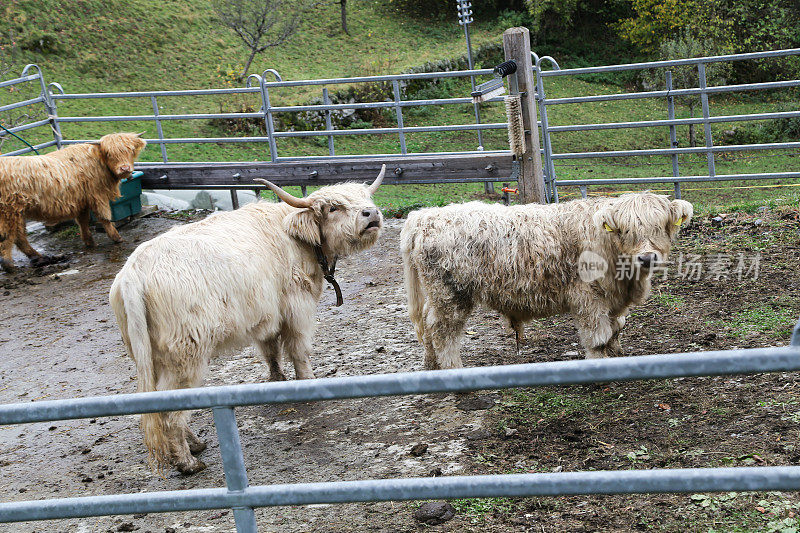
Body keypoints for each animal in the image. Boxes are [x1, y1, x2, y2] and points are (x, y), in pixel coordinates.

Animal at [0, 132, 147, 272]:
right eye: (109, 153)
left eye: (130, 150)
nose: (125, 168)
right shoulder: (97, 195)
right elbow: (104, 217)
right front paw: (116, 237)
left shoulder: (82, 200)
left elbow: (83, 221)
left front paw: (89, 242)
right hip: (9, 212)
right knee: (8, 236)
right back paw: (9, 265)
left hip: (18, 213)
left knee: (19, 236)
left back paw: (37, 256)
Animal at [111, 167, 386, 474]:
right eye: (333, 207)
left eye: (365, 198)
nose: (371, 214)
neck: (295, 239)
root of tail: (135, 271)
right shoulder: (297, 307)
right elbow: (299, 350)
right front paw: (307, 383)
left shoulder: (266, 315)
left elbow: (270, 351)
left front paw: (277, 380)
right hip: (185, 357)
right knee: (171, 413)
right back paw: (188, 462)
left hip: (152, 356)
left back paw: (194, 444)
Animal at [404, 192, 692, 370]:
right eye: (626, 229)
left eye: (660, 227)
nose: (647, 257)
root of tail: (425, 216)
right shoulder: (589, 299)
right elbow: (598, 338)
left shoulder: (614, 301)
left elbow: (616, 331)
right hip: (451, 295)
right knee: (442, 332)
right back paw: (453, 370)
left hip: (437, 295)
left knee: (428, 326)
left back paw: (431, 366)